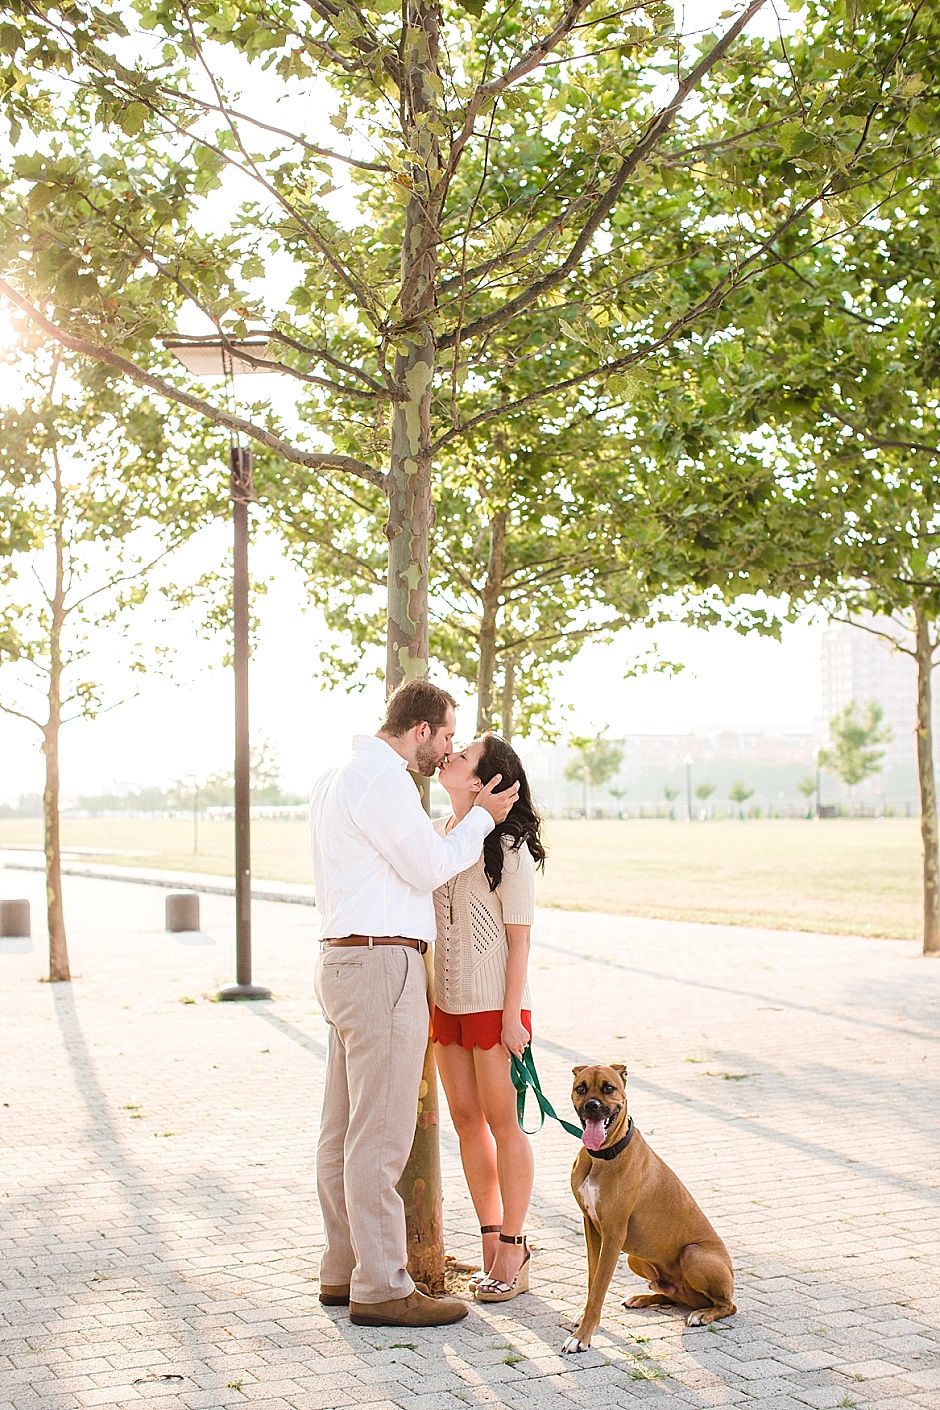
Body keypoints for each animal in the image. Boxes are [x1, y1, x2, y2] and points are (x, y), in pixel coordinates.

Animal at [563, 1060, 732, 1347]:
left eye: (609, 1088)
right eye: (581, 1088)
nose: (592, 1106)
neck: (603, 1155)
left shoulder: (613, 1235)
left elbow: (599, 1289)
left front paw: (582, 1336)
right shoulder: (591, 1227)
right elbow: (592, 1279)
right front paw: (585, 1319)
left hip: (694, 1254)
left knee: (727, 1305)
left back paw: (703, 1314)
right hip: (636, 1259)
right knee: (675, 1296)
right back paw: (642, 1298)